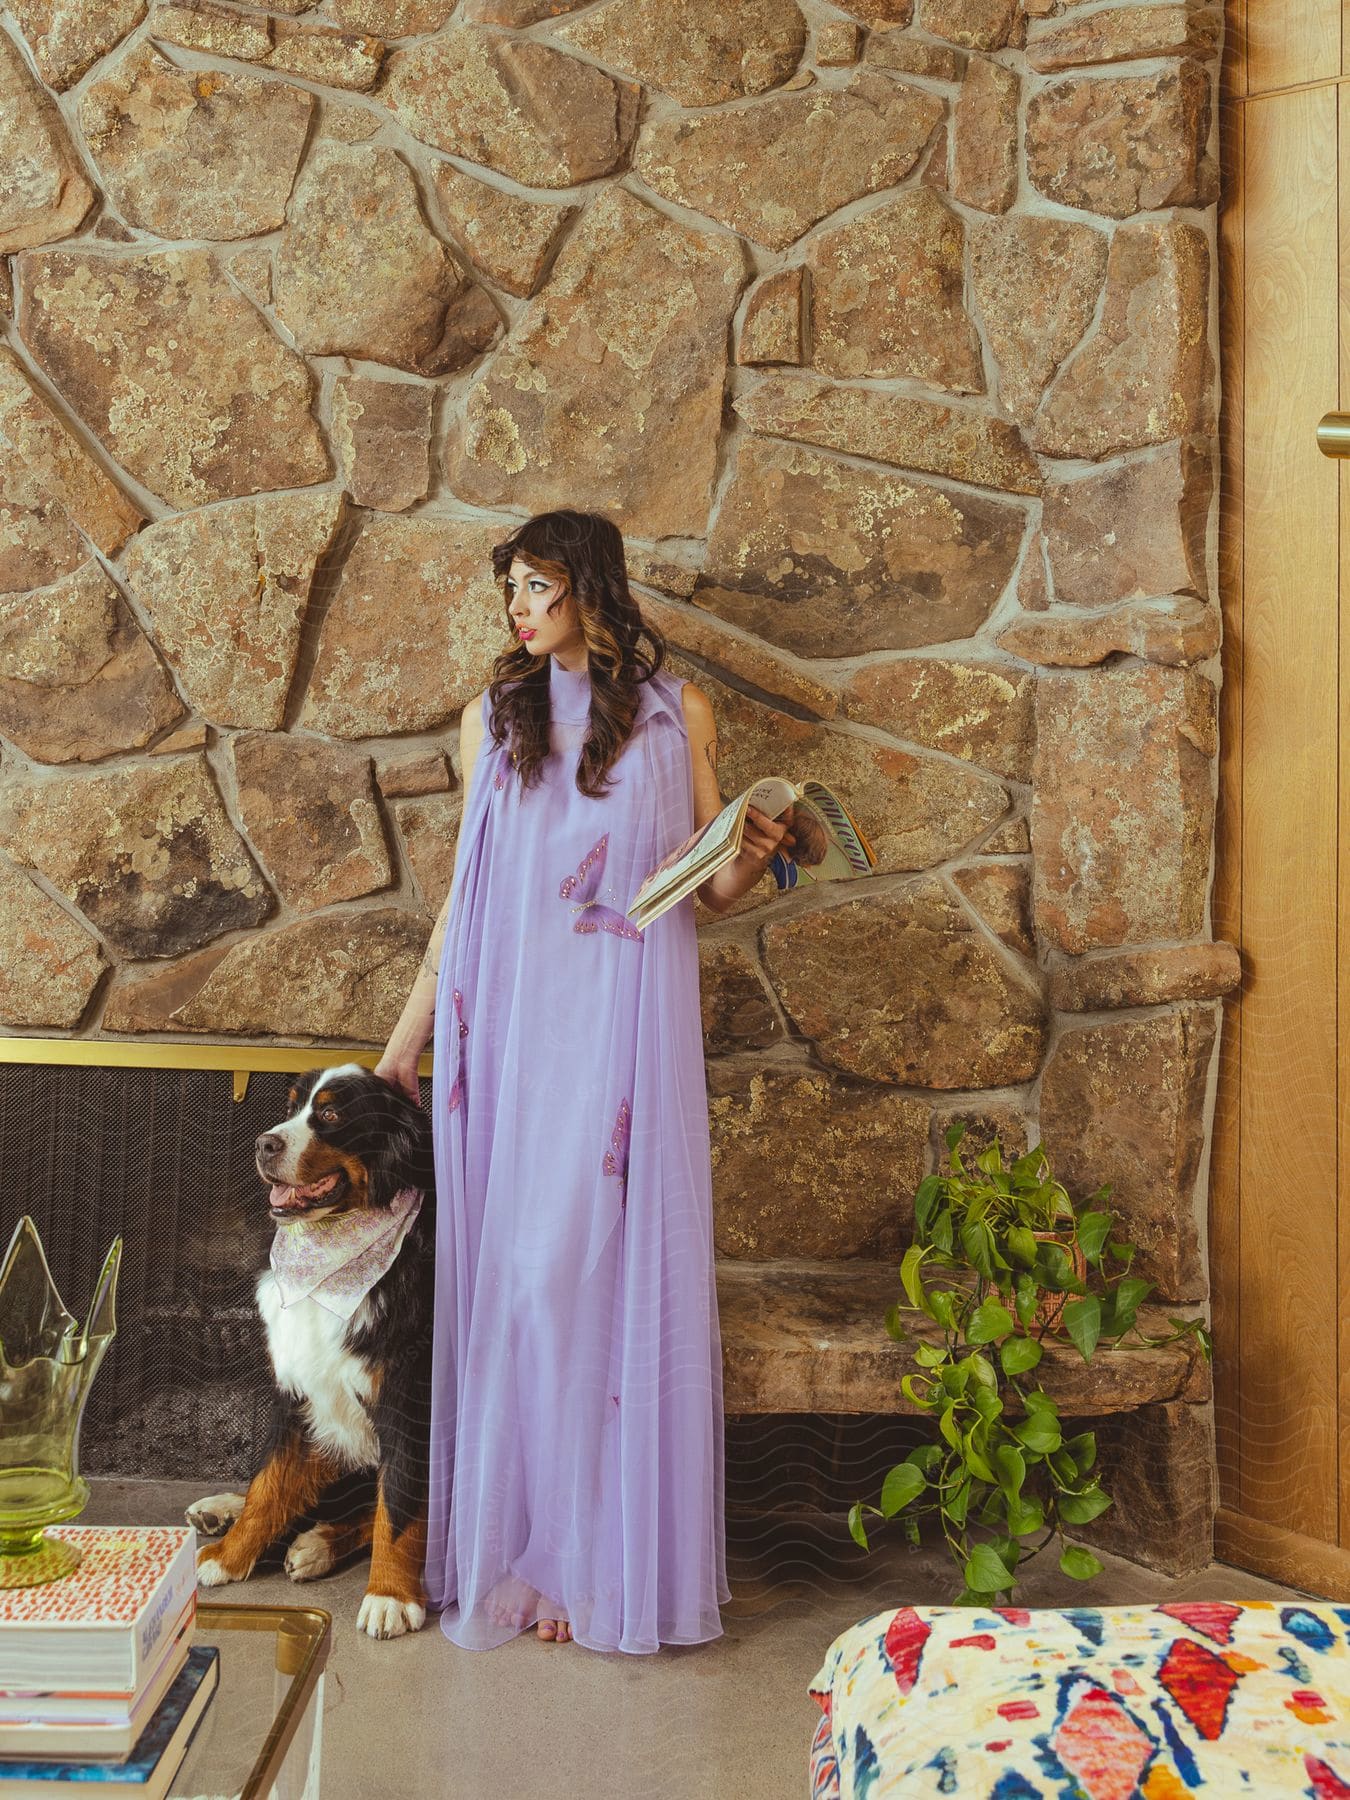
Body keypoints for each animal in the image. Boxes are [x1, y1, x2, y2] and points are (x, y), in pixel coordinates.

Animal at [188, 1058, 433, 1641]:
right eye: (292, 1106)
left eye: (331, 1115)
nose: (264, 1143)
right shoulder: (297, 1390)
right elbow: (268, 1483)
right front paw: (229, 1554)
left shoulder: (409, 1396)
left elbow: (400, 1506)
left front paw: (389, 1595)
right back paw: (222, 1510)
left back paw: (317, 1543)